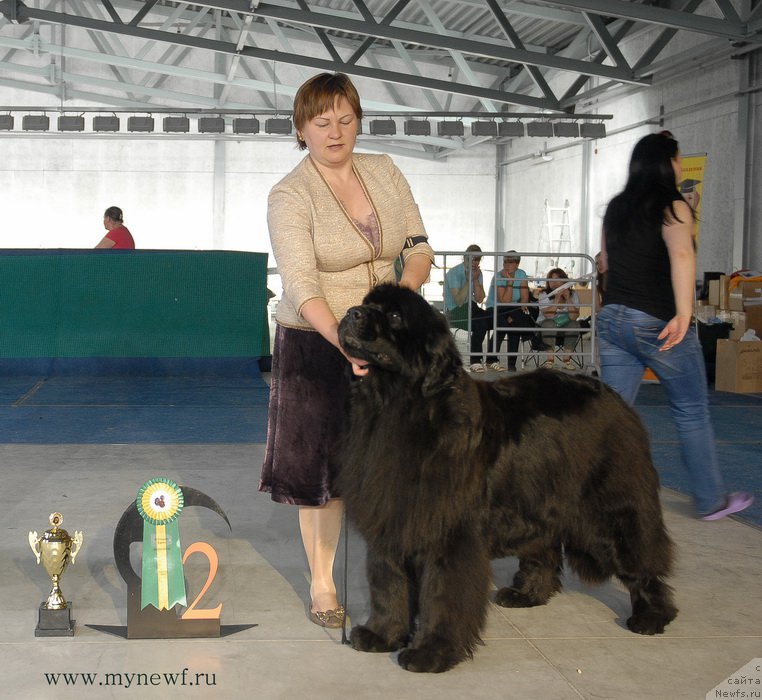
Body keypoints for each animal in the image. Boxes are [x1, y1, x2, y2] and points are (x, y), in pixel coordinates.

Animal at [338, 284, 676, 672]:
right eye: (366, 304)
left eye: (394, 316)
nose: (350, 313)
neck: (398, 406)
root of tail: (615, 399)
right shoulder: (392, 518)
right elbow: (388, 583)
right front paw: (383, 635)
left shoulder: (449, 532)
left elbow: (441, 594)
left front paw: (432, 652)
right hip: (540, 499)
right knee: (543, 549)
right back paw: (527, 593)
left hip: (610, 510)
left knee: (641, 558)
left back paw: (652, 615)